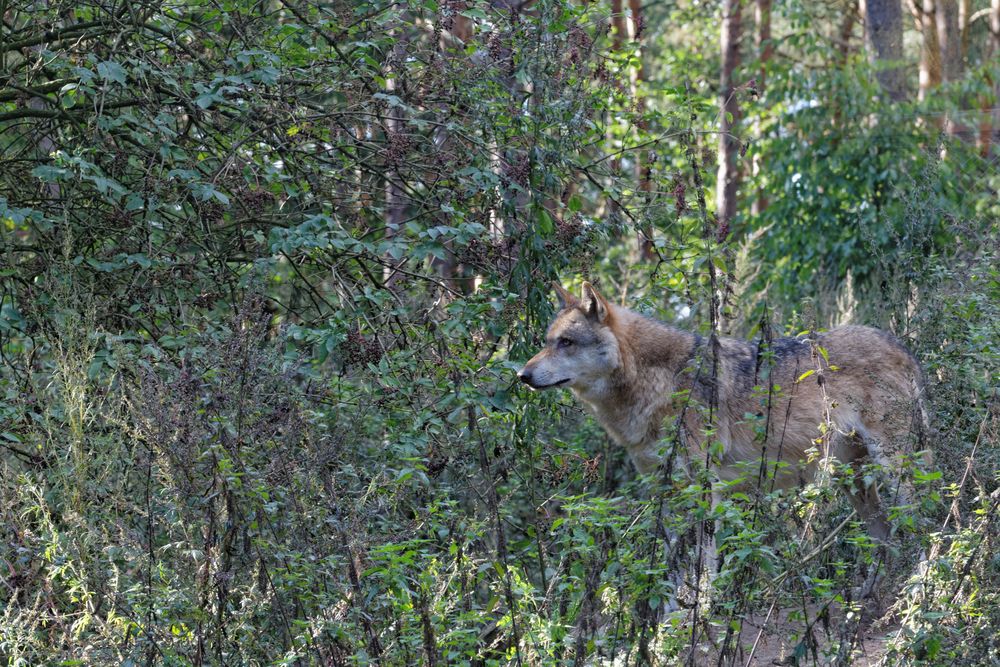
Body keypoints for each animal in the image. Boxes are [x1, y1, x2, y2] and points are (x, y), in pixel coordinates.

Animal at [520, 280, 932, 548]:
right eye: (547, 342)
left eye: (566, 343)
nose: (522, 375)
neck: (658, 381)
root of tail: (902, 347)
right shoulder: (666, 492)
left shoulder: (705, 490)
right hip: (855, 481)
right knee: (889, 537)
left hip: (894, 469)